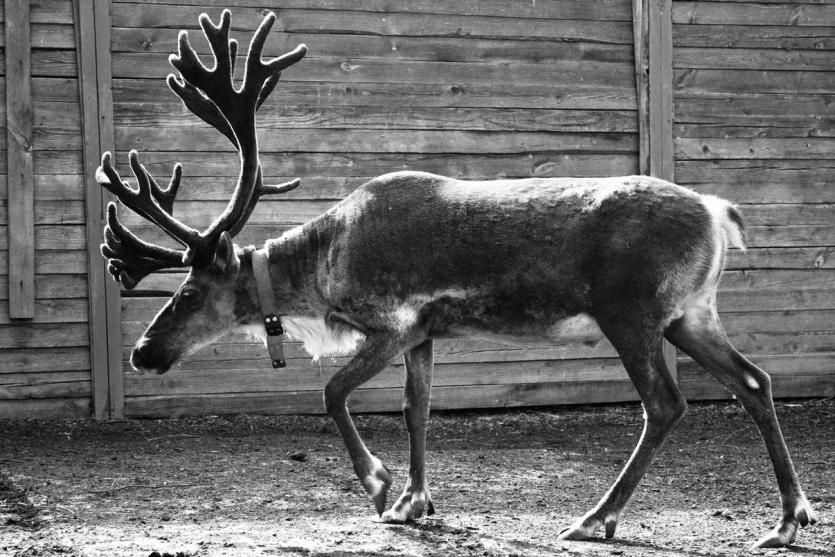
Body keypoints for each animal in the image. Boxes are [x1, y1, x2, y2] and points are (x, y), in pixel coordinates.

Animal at [95, 10, 817, 549]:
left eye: (188, 293)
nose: (141, 352)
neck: (323, 271)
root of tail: (718, 212)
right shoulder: (425, 331)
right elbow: (417, 409)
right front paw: (415, 502)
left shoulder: (390, 321)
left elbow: (331, 392)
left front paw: (378, 486)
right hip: (691, 314)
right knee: (755, 381)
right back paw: (788, 519)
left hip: (631, 313)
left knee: (666, 403)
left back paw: (595, 518)